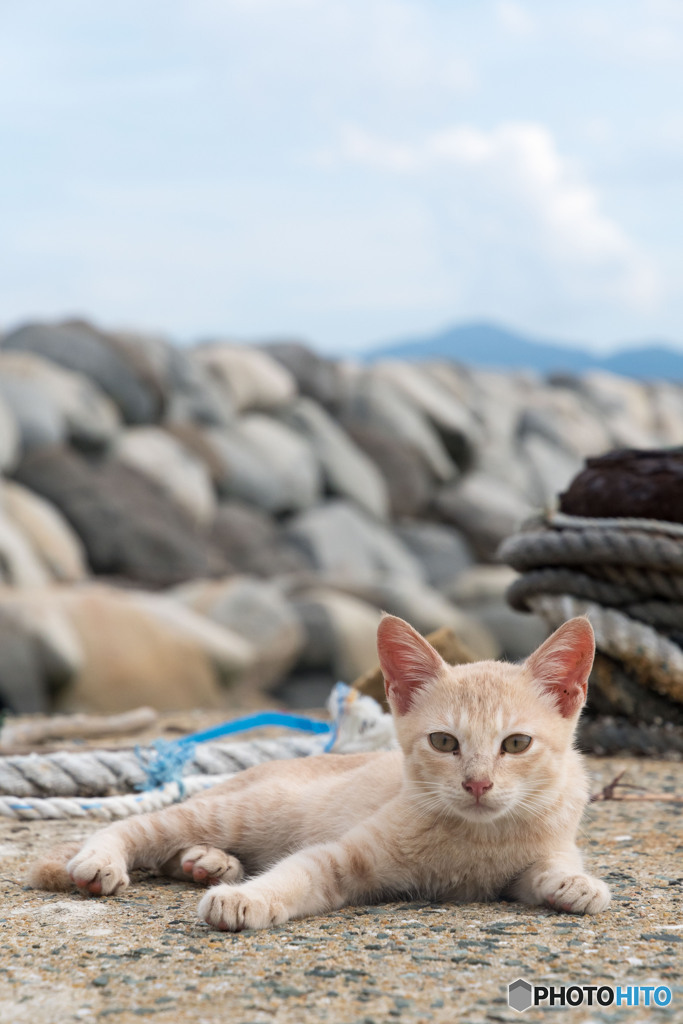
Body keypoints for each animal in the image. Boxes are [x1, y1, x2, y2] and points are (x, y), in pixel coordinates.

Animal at [29, 610, 610, 933]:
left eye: (516, 744)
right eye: (444, 742)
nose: (477, 783)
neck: (477, 840)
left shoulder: (545, 841)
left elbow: (548, 865)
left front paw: (574, 883)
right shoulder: (344, 857)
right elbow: (297, 873)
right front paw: (249, 899)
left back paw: (206, 863)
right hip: (239, 811)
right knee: (137, 825)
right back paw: (104, 860)